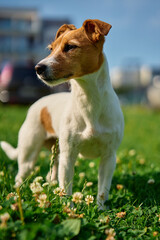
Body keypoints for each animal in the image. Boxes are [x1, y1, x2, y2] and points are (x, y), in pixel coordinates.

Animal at [0, 19, 124, 210]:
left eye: (70, 47)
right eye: (51, 49)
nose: (38, 68)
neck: (89, 101)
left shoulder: (109, 157)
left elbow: (103, 189)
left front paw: (101, 210)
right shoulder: (69, 155)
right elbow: (66, 188)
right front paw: (69, 209)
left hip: (55, 153)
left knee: (52, 174)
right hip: (29, 153)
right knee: (21, 175)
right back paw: (16, 193)